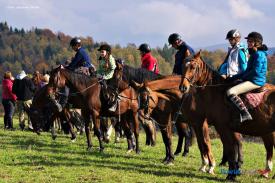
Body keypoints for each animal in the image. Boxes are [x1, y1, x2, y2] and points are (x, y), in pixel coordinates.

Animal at [180, 51, 275, 180]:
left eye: (193, 67)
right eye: (183, 66)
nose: (183, 87)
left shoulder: (220, 127)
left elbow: (227, 148)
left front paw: (227, 174)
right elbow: (232, 148)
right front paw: (233, 172)